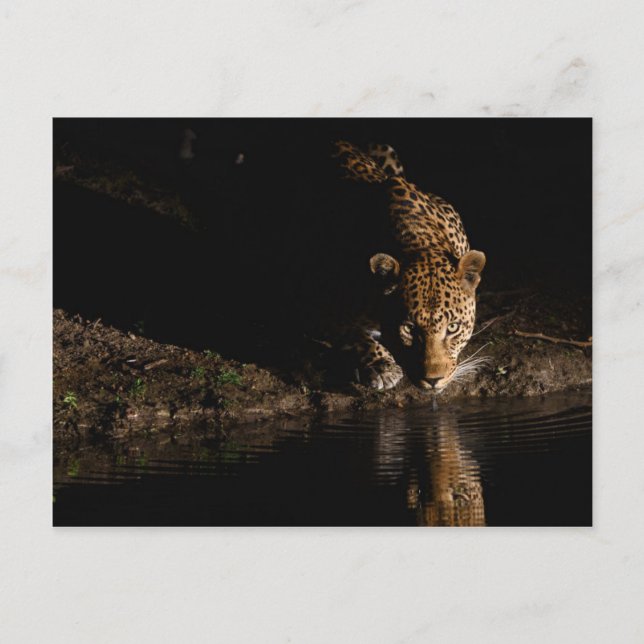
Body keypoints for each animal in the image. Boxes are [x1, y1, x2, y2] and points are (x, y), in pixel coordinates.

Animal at [328, 140, 486, 392]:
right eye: (409, 329)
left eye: (453, 328)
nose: (433, 380)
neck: (418, 242)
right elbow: (353, 334)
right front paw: (382, 366)